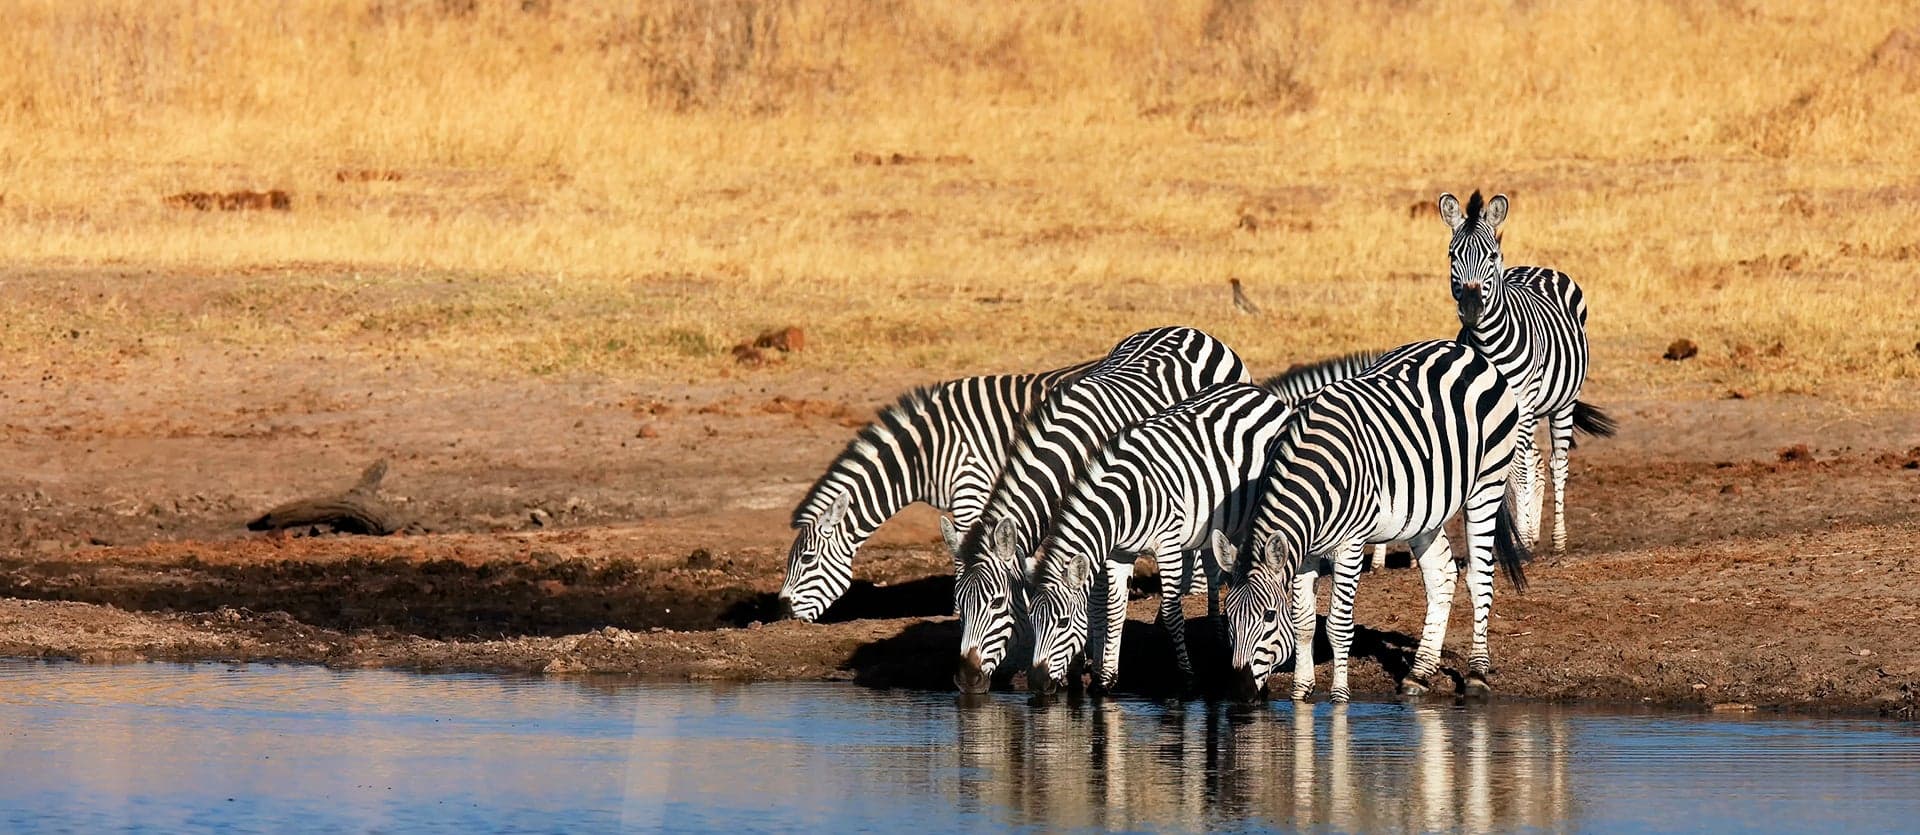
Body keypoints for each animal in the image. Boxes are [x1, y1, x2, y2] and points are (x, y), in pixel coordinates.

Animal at [778, 361, 1091, 623]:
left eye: (807, 559)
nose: (784, 613)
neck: (924, 455)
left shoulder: (970, 489)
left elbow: (963, 550)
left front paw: (961, 610)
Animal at [952, 326, 1249, 693]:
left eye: (997, 604)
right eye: (958, 605)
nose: (966, 680)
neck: (1065, 458)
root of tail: (1190, 330)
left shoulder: (1102, 518)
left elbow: (1095, 601)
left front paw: (1086, 663)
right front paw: (1080, 664)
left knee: (1207, 560)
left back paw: (1215, 633)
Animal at [1025, 382, 1295, 695]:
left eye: (1063, 622)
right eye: (1031, 620)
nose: (1036, 683)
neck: (1123, 502)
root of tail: (1258, 391)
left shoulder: (1167, 545)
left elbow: (1172, 612)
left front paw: (1188, 678)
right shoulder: (1120, 553)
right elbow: (1114, 611)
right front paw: (1106, 680)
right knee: (1214, 567)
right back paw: (1218, 634)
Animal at [1221, 339, 1531, 702]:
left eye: (1269, 617)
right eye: (1227, 617)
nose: (1240, 693)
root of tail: (1460, 349)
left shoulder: (1350, 546)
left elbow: (1338, 626)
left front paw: (1339, 696)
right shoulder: (1305, 551)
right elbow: (1303, 622)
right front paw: (1301, 692)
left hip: (1488, 482)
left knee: (1479, 577)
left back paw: (1477, 673)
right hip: (1426, 511)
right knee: (1441, 576)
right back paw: (1418, 674)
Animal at [1439, 191, 1618, 553]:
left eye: (1491, 255)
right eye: (1452, 255)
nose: (1471, 309)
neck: (1489, 342)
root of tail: (1536, 269)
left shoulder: (1523, 399)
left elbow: (1517, 468)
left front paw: (1518, 539)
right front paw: (1509, 535)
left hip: (1561, 403)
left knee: (1556, 463)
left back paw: (1557, 539)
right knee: (1534, 458)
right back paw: (1532, 530)